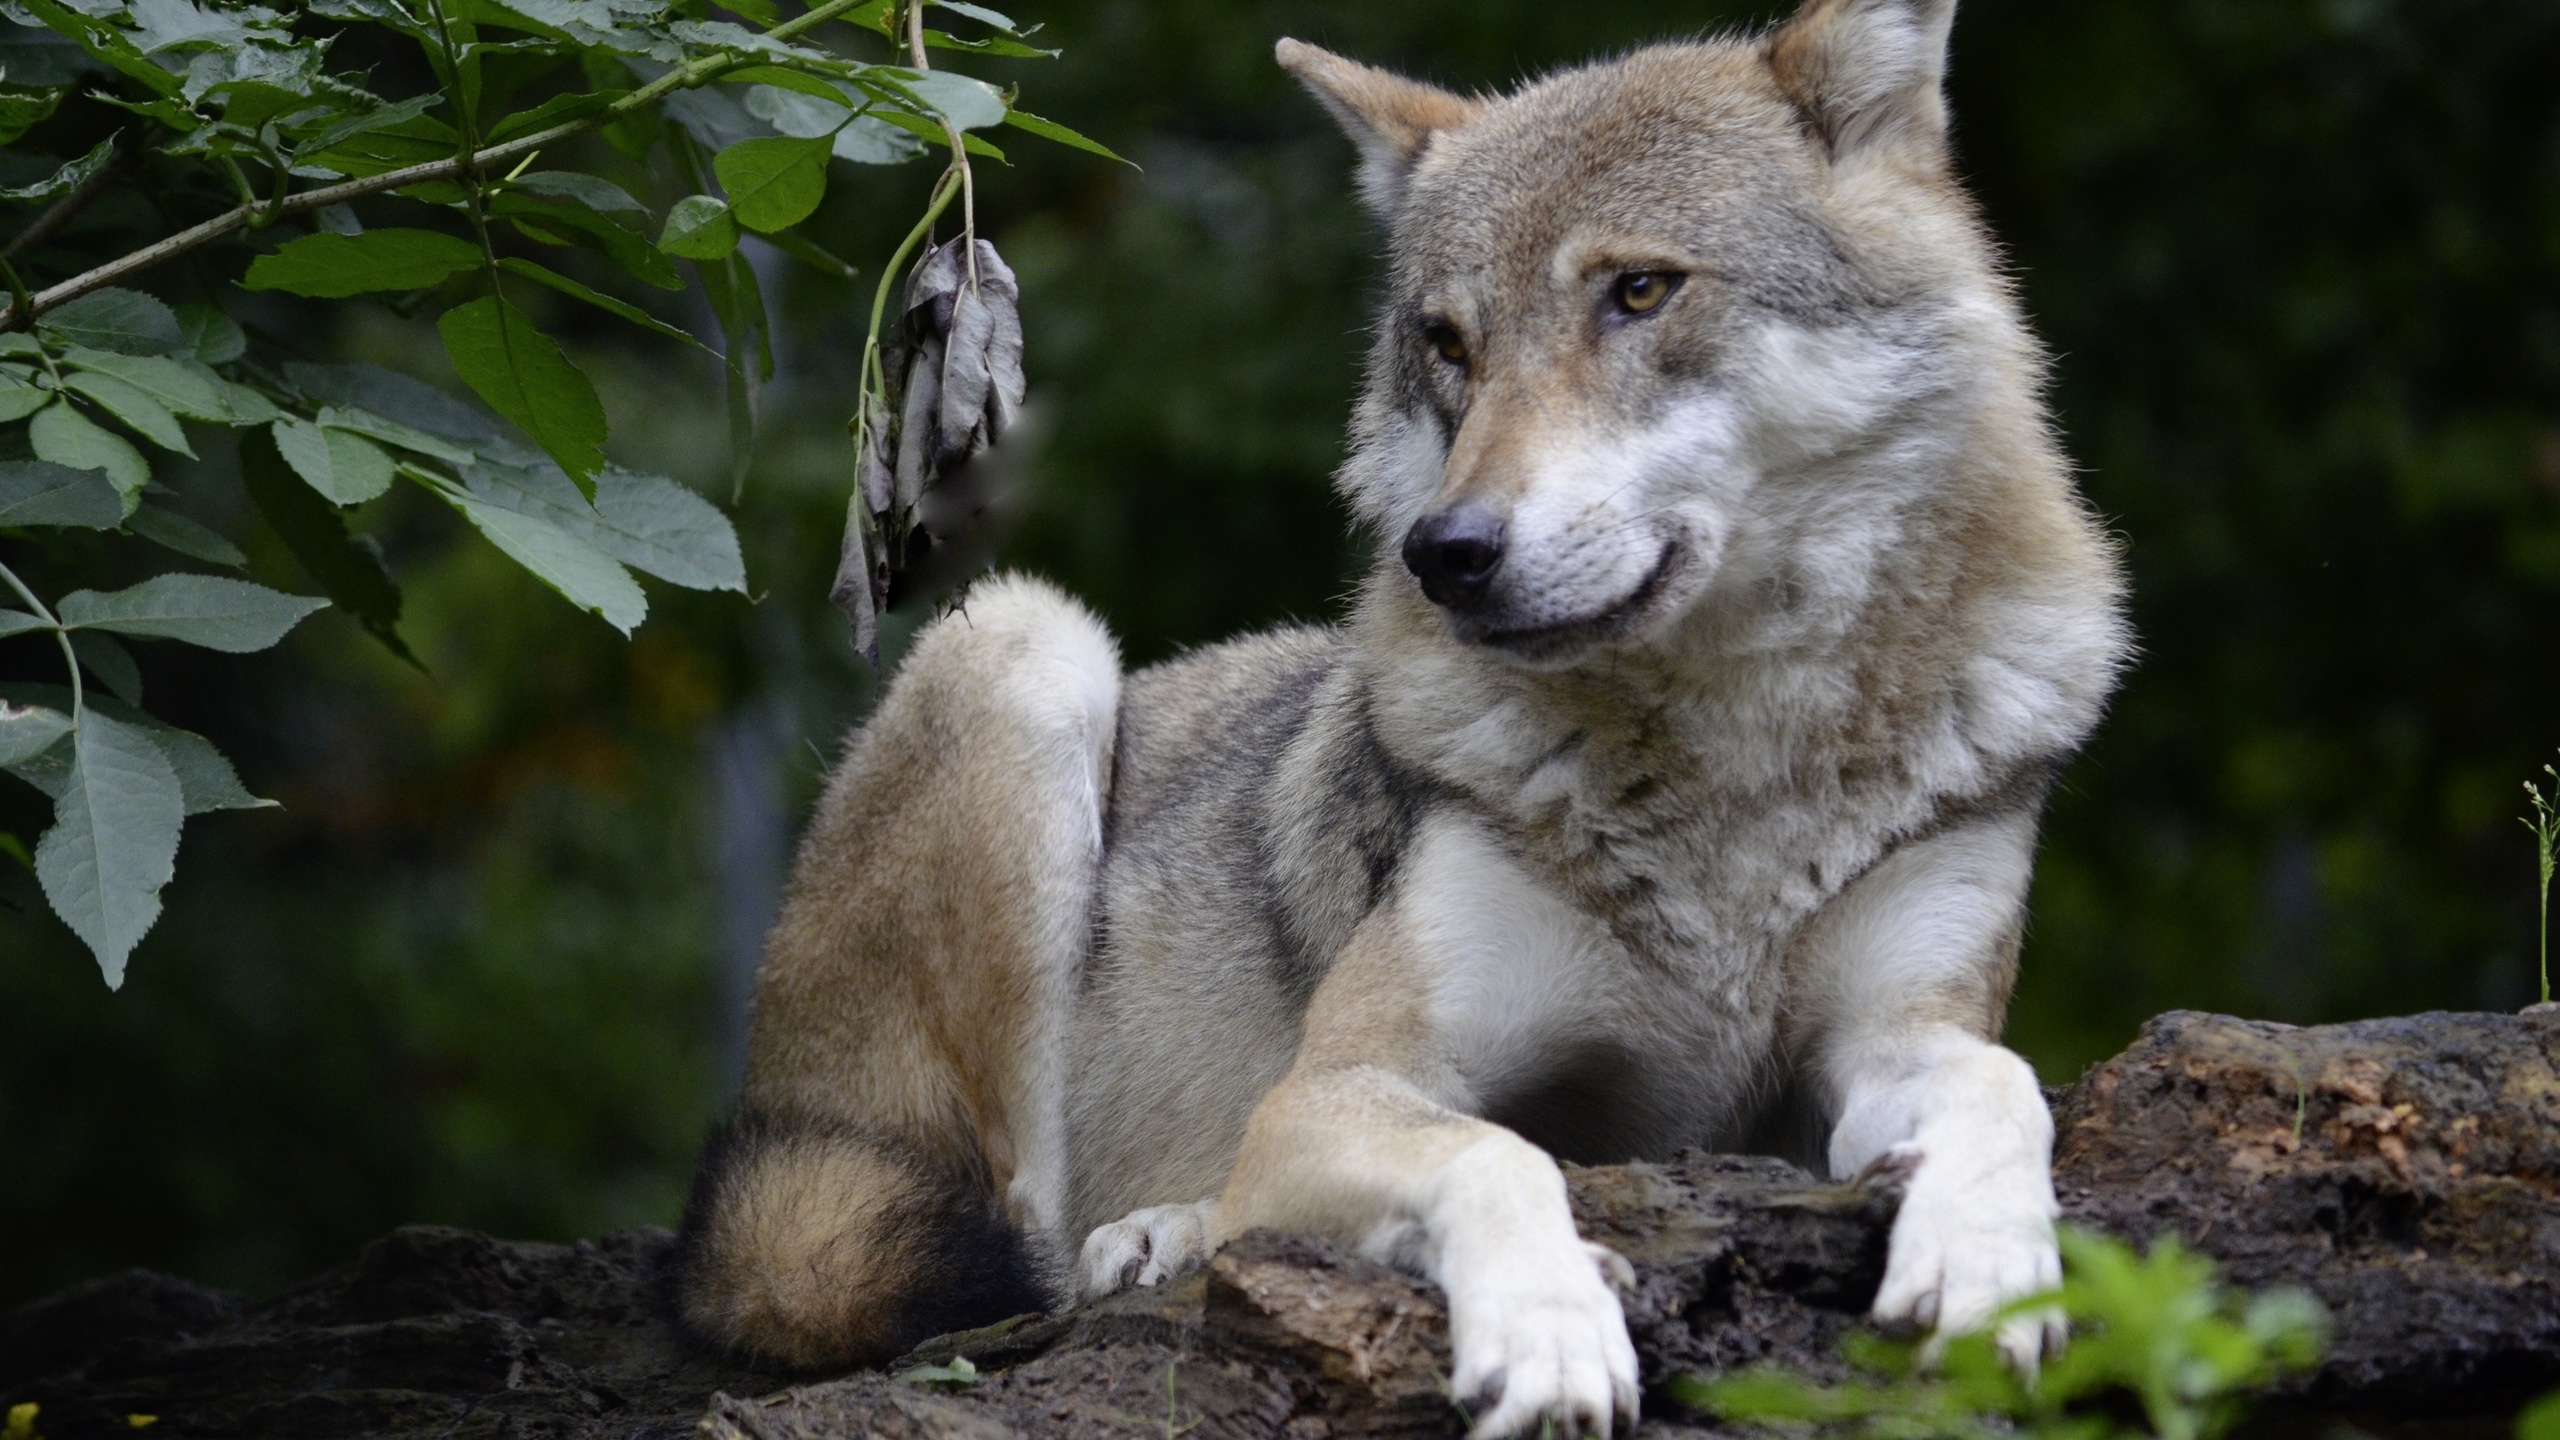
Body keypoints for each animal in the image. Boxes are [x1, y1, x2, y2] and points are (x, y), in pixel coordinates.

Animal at [670, 0, 2129, 1424]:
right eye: (1447, 344)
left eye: (1639, 290)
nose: (1449, 552)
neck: (1732, 772)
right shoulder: (1344, 1088)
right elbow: (1494, 1156)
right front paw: (1548, 1331)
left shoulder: (1890, 1040)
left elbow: (2003, 1086)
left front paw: (1989, 1268)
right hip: (1029, 647)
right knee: (1028, 1231)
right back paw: (1164, 1232)